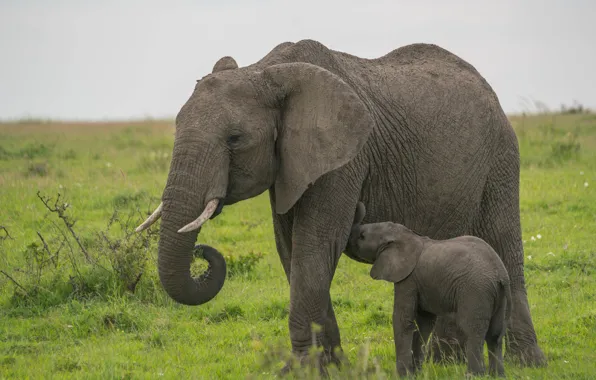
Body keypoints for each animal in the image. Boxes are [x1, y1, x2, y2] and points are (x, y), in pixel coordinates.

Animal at [346, 202, 510, 378]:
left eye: (362, 236)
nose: (359, 204)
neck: (406, 235)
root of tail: (499, 275)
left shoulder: (408, 279)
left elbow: (403, 320)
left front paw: (403, 375)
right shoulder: (421, 283)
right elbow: (424, 323)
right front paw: (416, 373)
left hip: (475, 292)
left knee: (473, 331)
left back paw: (474, 375)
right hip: (501, 296)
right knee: (495, 334)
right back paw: (498, 375)